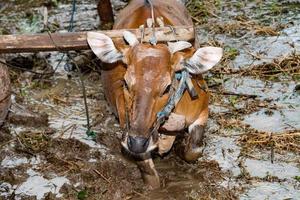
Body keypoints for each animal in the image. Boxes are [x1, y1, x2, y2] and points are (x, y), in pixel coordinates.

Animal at [88, 0, 221, 188]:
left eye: (166, 88)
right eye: (126, 83)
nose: (137, 143)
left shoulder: (202, 111)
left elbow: (194, 149)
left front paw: (180, 148)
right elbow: (151, 176)